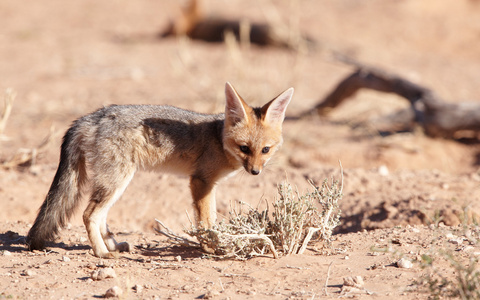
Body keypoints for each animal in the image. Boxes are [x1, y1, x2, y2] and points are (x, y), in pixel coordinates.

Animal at [29, 82, 296, 258]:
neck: (218, 138)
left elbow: (210, 219)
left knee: (100, 215)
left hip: (114, 183)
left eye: (265, 150)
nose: (255, 172)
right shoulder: (201, 181)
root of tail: (91, 117)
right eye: (244, 148)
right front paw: (212, 247)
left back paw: (112, 245)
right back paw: (102, 253)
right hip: (117, 181)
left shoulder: (209, 184)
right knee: (89, 214)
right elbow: (206, 221)